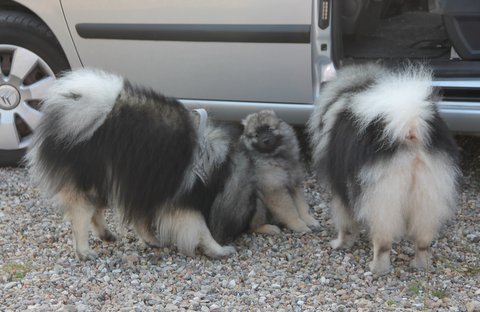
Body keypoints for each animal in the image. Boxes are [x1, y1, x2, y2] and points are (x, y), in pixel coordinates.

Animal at [308, 64, 462, 276]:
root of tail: (410, 128)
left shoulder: (341, 190)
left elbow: (345, 223)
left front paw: (340, 243)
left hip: (382, 198)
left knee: (382, 243)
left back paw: (377, 269)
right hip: (427, 195)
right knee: (422, 241)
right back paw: (420, 265)